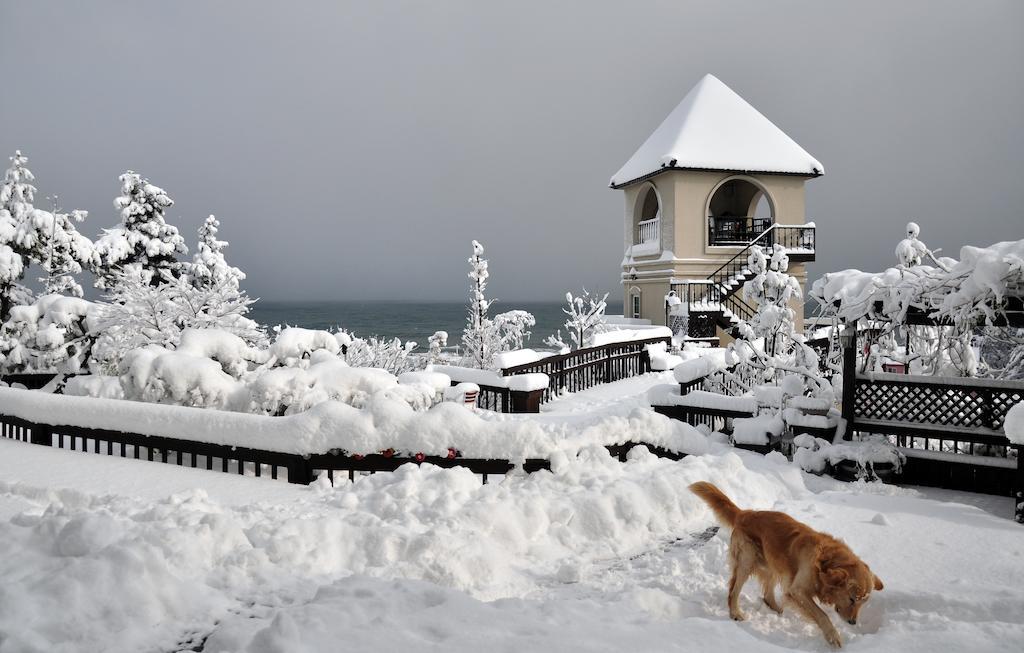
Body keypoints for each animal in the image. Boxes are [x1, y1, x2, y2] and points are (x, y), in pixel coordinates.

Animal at [692, 483, 884, 646]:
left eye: (863, 602)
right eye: (852, 599)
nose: (853, 622)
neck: (824, 562)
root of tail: (745, 513)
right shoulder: (797, 590)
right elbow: (822, 615)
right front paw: (833, 637)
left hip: (771, 563)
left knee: (767, 595)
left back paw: (778, 611)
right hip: (747, 560)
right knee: (733, 591)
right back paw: (735, 613)